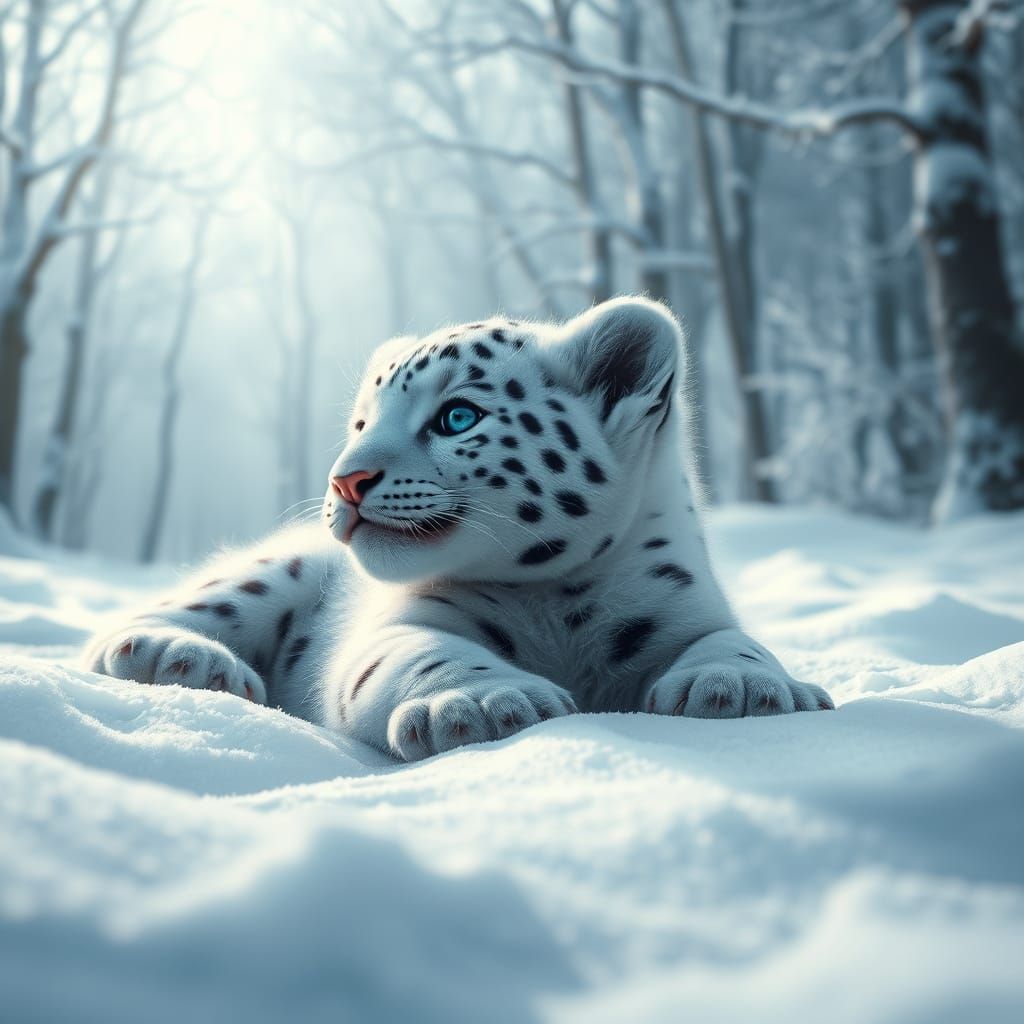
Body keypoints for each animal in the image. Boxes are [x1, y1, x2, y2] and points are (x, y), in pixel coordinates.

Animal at [83, 297, 834, 761]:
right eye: (363, 422)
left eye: (457, 417)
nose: (344, 480)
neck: (558, 599)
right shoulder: (393, 628)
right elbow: (424, 653)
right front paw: (488, 702)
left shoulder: (683, 608)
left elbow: (732, 641)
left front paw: (744, 690)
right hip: (268, 574)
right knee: (138, 626)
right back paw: (188, 659)